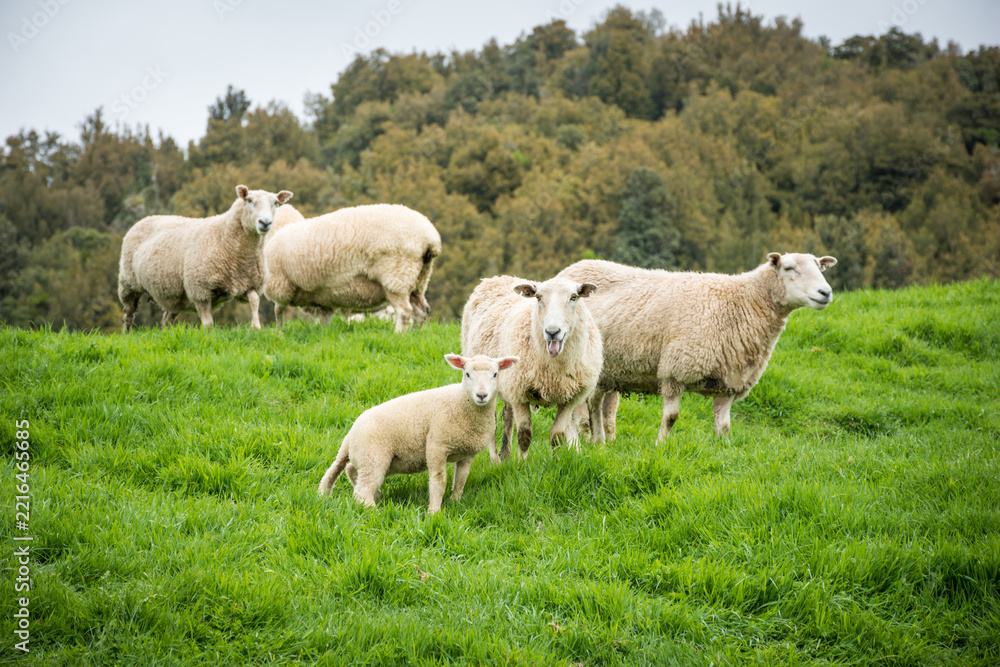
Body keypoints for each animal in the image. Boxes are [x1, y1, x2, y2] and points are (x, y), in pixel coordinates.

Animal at [118, 185, 292, 332]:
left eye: (275, 203)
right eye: (249, 200)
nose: (265, 222)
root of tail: (146, 218)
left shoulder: (249, 283)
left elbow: (255, 301)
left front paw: (256, 327)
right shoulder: (200, 291)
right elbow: (208, 324)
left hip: (176, 295)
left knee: (166, 320)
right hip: (128, 284)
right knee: (128, 314)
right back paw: (127, 335)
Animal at [263, 204, 442, 333]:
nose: (263, 223)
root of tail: (430, 239)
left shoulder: (281, 284)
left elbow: (278, 310)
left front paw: (279, 333)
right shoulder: (323, 297)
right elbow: (324, 318)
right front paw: (322, 334)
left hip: (397, 276)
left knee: (404, 312)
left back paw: (398, 335)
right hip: (418, 279)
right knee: (422, 310)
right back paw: (414, 334)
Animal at [317, 354, 519, 514]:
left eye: (495, 374)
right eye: (467, 374)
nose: (482, 395)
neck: (462, 401)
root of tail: (351, 433)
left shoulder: (467, 453)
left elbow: (461, 479)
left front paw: (455, 501)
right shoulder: (437, 445)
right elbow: (439, 481)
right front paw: (434, 512)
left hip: (374, 459)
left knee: (349, 470)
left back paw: (375, 495)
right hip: (373, 455)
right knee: (361, 491)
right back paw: (375, 511)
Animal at [460, 275, 603, 461]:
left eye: (574, 297)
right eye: (538, 297)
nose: (552, 332)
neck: (554, 371)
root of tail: (495, 278)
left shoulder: (570, 398)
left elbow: (557, 435)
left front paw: (556, 461)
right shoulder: (519, 393)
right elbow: (524, 434)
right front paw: (523, 463)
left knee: (508, 415)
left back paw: (505, 454)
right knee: (493, 424)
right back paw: (495, 459)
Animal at [557, 252, 838, 442]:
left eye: (819, 267)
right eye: (789, 268)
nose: (825, 292)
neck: (742, 303)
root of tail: (570, 269)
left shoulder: (729, 381)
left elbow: (724, 426)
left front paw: (724, 450)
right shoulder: (675, 370)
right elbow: (671, 418)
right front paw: (660, 446)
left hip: (612, 369)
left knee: (600, 403)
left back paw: (604, 441)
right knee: (591, 405)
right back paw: (596, 440)